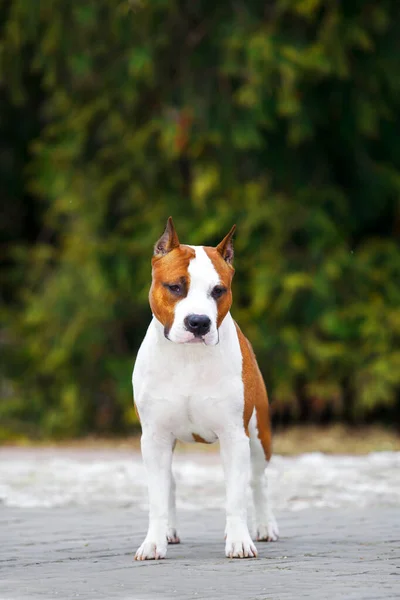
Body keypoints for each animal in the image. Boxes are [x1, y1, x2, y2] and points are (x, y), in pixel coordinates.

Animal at [133, 218, 276, 560]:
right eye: (175, 287)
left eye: (218, 290)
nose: (198, 322)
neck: (189, 358)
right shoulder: (154, 438)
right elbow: (157, 497)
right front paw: (153, 542)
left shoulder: (234, 435)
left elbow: (236, 496)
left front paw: (238, 541)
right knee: (170, 483)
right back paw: (169, 532)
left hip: (258, 433)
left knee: (258, 479)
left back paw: (265, 526)